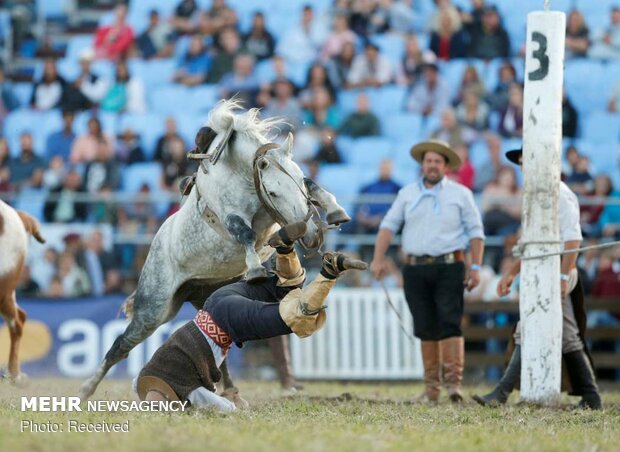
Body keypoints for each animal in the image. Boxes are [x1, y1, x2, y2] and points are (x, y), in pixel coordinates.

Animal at [78, 100, 348, 400]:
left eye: (298, 181)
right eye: (274, 192)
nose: (311, 234)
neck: (239, 171)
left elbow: (315, 186)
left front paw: (336, 210)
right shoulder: (230, 216)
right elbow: (245, 232)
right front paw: (256, 269)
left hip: (204, 296)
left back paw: (231, 391)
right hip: (154, 309)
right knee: (121, 345)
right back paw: (86, 390)